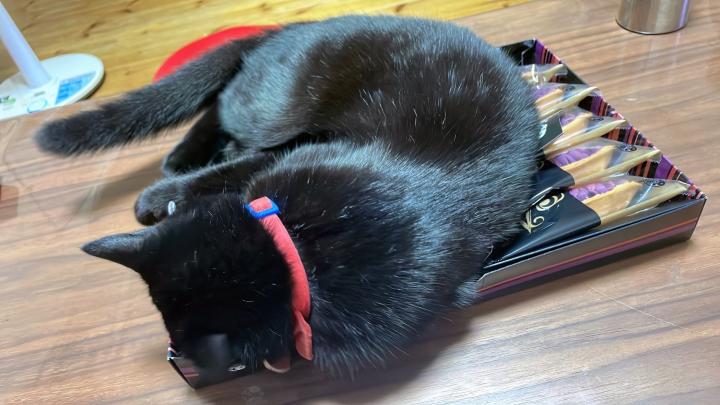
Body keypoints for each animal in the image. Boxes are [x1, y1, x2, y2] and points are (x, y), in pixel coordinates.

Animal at [35, 15, 539, 378]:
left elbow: (230, 174)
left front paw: (160, 200)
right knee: (225, 104)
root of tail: (290, 30)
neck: (297, 249)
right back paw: (181, 159)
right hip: (277, 110)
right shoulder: (295, 153)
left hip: (277, 117)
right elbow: (233, 171)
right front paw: (164, 197)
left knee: (228, 113)